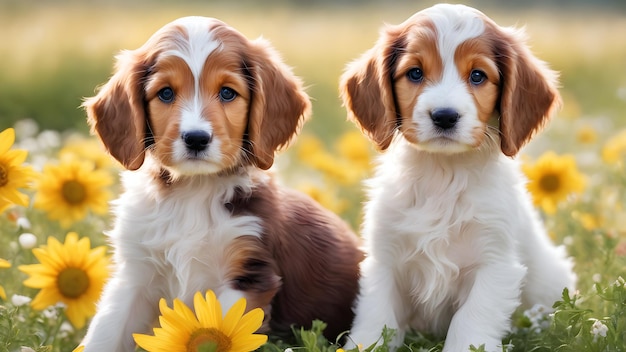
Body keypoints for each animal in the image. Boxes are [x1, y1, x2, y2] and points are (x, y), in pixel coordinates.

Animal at [79, 17, 360, 352]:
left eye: (227, 93)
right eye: (165, 94)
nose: (196, 138)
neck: (193, 192)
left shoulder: (248, 276)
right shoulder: (135, 275)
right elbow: (106, 331)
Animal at [342, 4, 576, 350]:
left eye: (478, 75)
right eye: (415, 73)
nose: (444, 116)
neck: (444, 174)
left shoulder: (494, 263)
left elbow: (471, 321)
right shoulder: (385, 259)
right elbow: (376, 317)